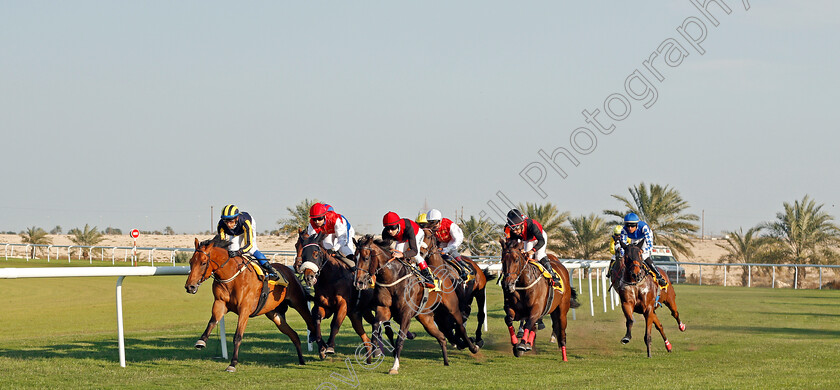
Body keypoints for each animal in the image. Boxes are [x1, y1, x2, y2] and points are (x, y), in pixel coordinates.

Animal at [184, 238, 316, 372]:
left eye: (203, 263)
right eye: (191, 262)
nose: (190, 286)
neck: (232, 277)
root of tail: (291, 272)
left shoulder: (244, 309)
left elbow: (238, 336)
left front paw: (232, 363)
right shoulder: (220, 303)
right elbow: (212, 322)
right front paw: (201, 341)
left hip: (299, 303)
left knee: (311, 323)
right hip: (274, 314)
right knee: (293, 334)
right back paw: (301, 360)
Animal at [294, 230, 386, 362]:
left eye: (315, 254)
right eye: (299, 249)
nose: (309, 277)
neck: (331, 278)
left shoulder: (343, 305)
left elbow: (335, 324)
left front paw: (330, 347)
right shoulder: (324, 306)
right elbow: (316, 321)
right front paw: (322, 348)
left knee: (376, 324)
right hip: (358, 313)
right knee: (366, 336)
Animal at [352, 235, 480, 374]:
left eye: (366, 258)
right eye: (354, 258)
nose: (358, 282)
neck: (393, 278)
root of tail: (444, 273)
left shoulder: (406, 315)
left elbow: (400, 339)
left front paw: (394, 366)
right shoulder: (383, 309)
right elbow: (376, 327)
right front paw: (374, 353)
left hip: (452, 307)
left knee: (461, 327)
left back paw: (473, 347)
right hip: (425, 318)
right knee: (441, 337)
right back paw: (446, 361)